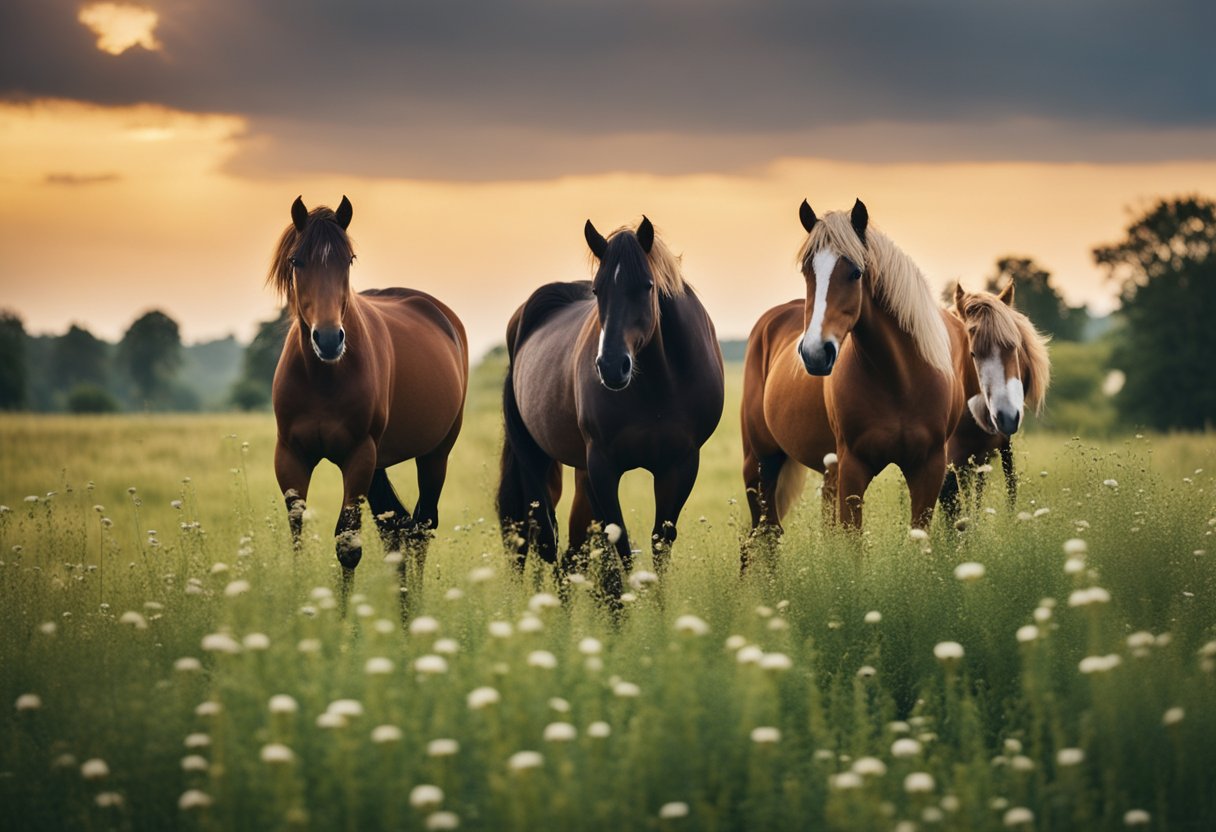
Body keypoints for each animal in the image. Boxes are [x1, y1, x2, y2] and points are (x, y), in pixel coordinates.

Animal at [267, 196, 468, 601]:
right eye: (297, 260)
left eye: (348, 259)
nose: (329, 339)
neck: (323, 376)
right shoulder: (291, 457)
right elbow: (298, 538)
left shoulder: (358, 457)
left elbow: (348, 545)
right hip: (380, 465)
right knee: (396, 529)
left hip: (434, 454)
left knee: (422, 526)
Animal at [497, 217, 724, 597]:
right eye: (597, 290)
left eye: (647, 286)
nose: (611, 366)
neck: (657, 384)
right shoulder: (603, 466)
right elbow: (619, 546)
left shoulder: (679, 465)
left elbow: (659, 544)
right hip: (536, 461)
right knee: (542, 541)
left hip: (582, 473)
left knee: (569, 558)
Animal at [740, 199, 969, 558]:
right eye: (807, 271)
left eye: (855, 273)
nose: (815, 353)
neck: (900, 381)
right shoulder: (853, 467)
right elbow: (852, 546)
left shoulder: (929, 467)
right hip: (760, 461)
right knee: (765, 535)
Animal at [940, 281, 1051, 514]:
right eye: (972, 353)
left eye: (1014, 347)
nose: (1007, 418)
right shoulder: (951, 460)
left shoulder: (998, 450)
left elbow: (1006, 494)